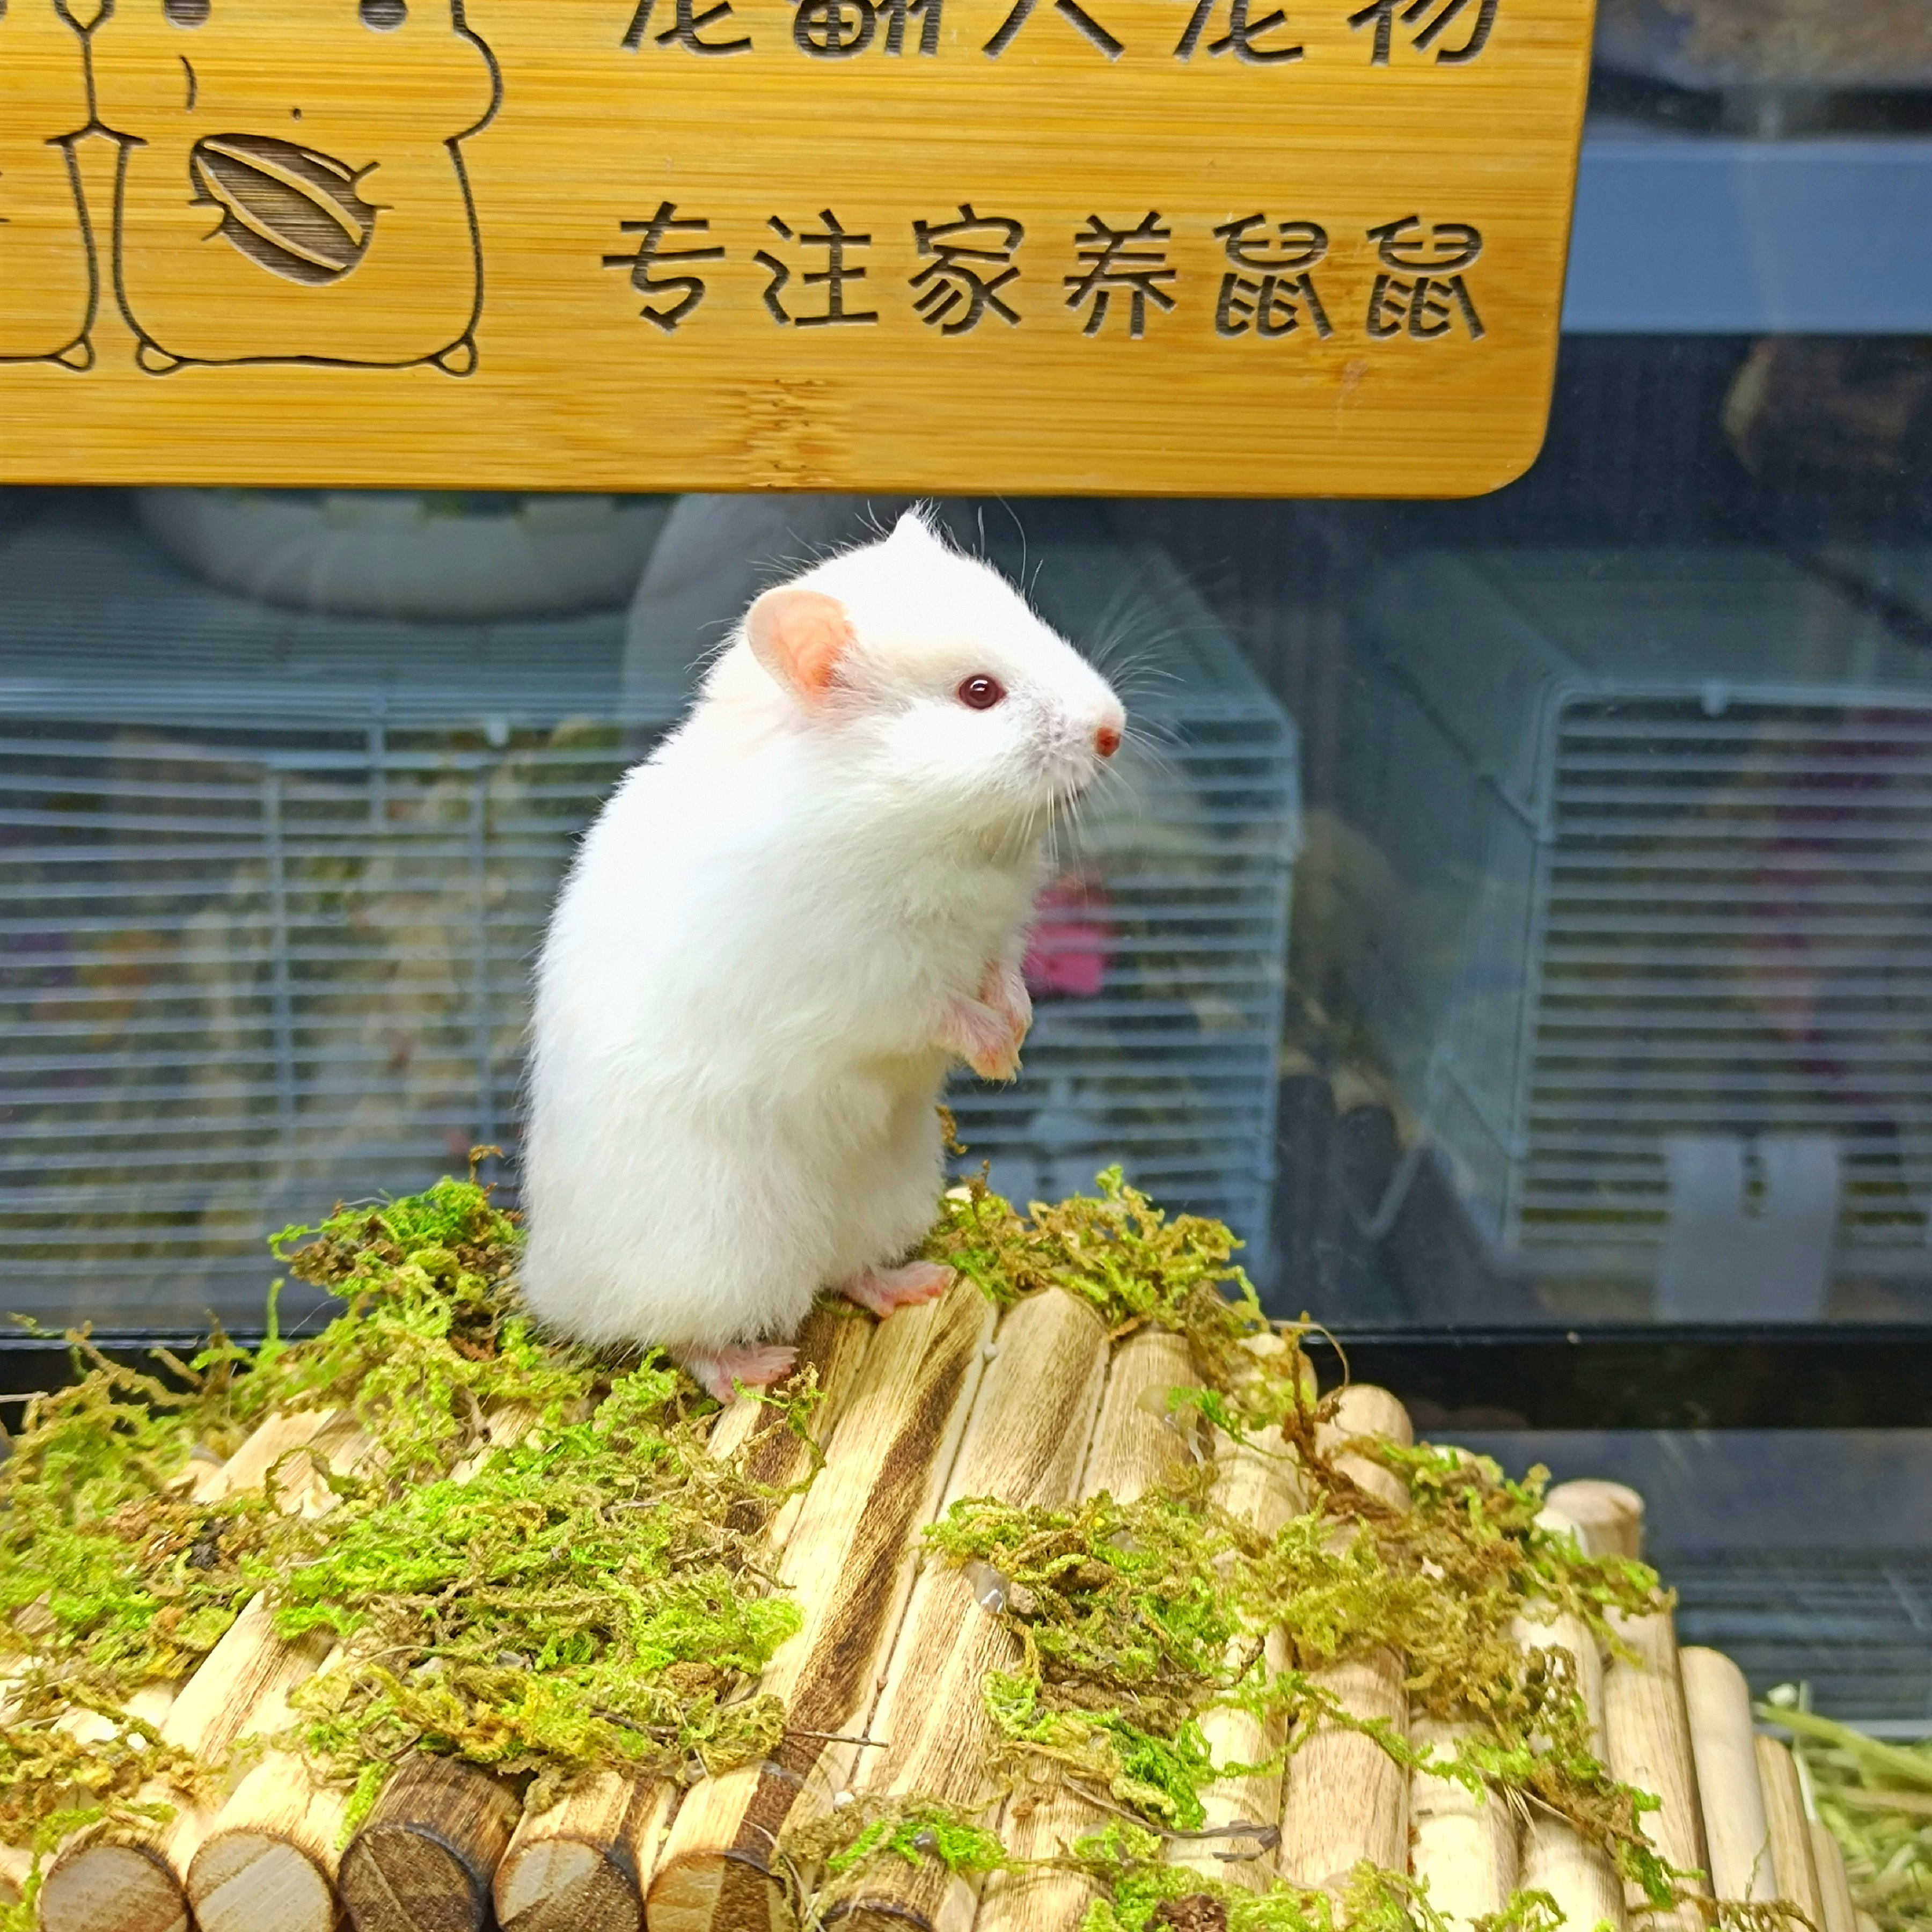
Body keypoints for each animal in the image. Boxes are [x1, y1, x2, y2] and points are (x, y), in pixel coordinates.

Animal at [522, 510, 1126, 1401]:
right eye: (979, 693)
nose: (1114, 729)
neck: (916, 822)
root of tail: (544, 1278)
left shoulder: (994, 937)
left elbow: (1003, 983)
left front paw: (1016, 1041)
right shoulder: (866, 978)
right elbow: (939, 1010)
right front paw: (1000, 1061)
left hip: (887, 1194)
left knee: (845, 1271)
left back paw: (917, 1286)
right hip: (718, 1252)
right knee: (678, 1335)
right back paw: (758, 1369)